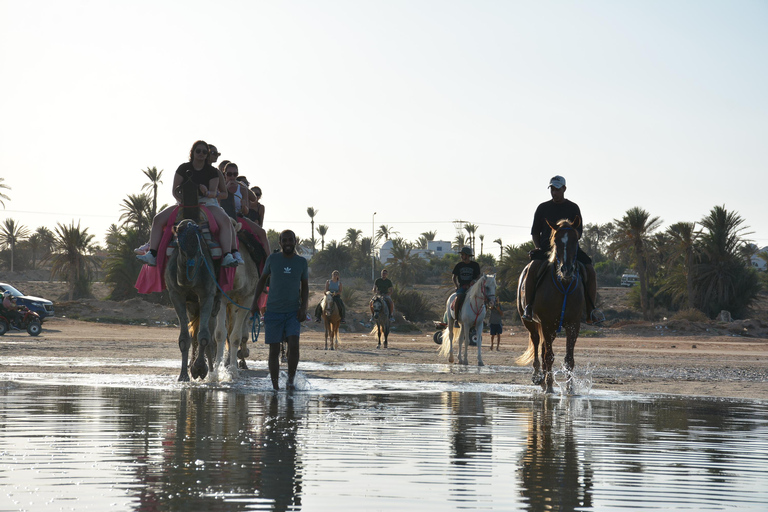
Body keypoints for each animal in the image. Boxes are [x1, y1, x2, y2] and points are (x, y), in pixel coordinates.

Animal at [520, 216, 584, 392]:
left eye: (575, 240)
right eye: (556, 241)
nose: (566, 269)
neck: (564, 285)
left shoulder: (573, 325)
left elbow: (569, 359)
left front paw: (570, 388)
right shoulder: (546, 323)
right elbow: (549, 356)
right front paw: (549, 385)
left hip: (553, 328)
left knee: (542, 348)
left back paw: (543, 379)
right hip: (531, 323)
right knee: (536, 343)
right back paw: (538, 377)